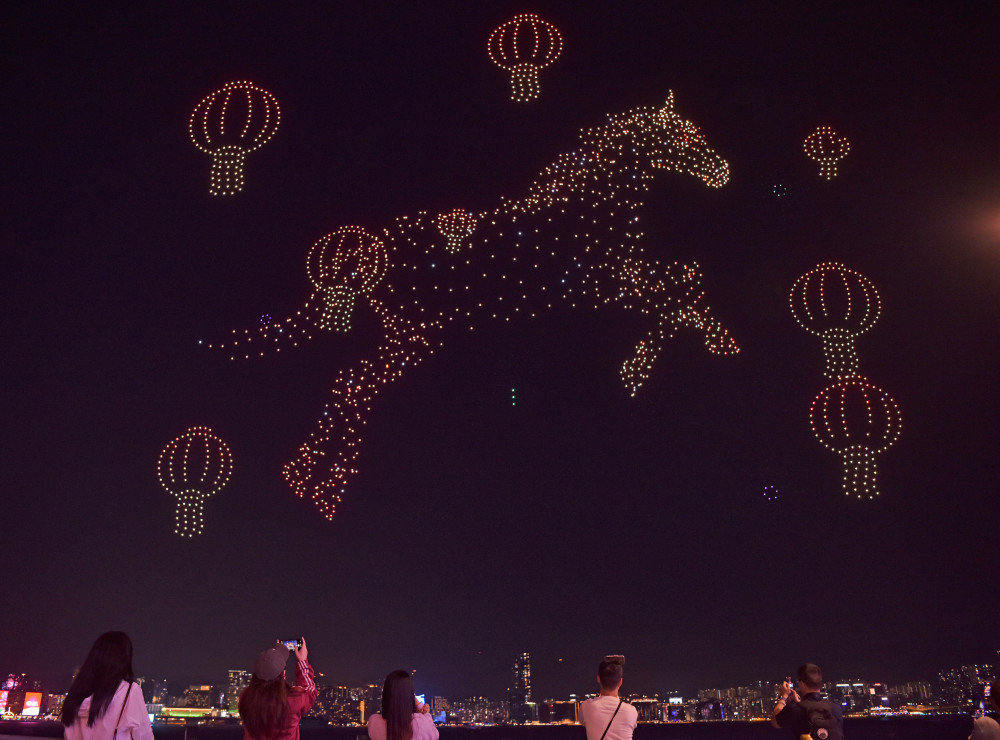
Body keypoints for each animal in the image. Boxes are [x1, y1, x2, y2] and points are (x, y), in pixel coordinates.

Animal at [206, 92, 739, 520]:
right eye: (686, 135)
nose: (722, 172)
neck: (591, 205)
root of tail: (370, 250)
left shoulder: (611, 280)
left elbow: (683, 282)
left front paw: (668, 356)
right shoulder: (602, 280)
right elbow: (681, 286)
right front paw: (658, 361)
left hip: (409, 336)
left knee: (349, 383)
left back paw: (309, 479)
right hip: (415, 337)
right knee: (353, 383)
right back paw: (320, 485)